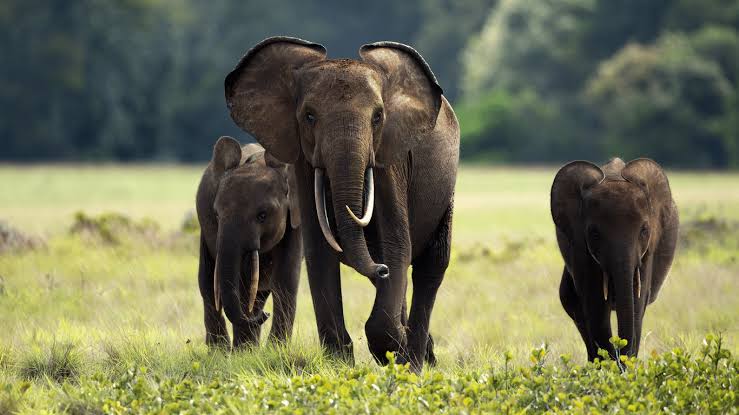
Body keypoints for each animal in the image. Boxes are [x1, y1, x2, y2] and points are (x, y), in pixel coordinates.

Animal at [196, 136, 302, 349]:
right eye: (217, 215)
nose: (265, 315)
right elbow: (241, 282)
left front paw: (276, 349)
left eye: (262, 215)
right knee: (207, 281)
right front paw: (244, 351)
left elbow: (285, 278)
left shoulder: (297, 220)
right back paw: (220, 350)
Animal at [224, 37, 459, 372]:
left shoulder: (391, 157)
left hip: (446, 189)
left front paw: (389, 353)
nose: (381, 270)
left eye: (378, 117)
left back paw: (413, 362)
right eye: (309, 116)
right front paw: (339, 362)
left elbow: (396, 244)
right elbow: (319, 249)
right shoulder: (302, 160)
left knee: (431, 266)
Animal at [550, 157, 679, 360]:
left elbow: (637, 303)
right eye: (594, 234)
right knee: (572, 303)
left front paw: (625, 364)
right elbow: (595, 304)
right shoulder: (580, 248)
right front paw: (610, 364)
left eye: (644, 231)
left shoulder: (648, 252)